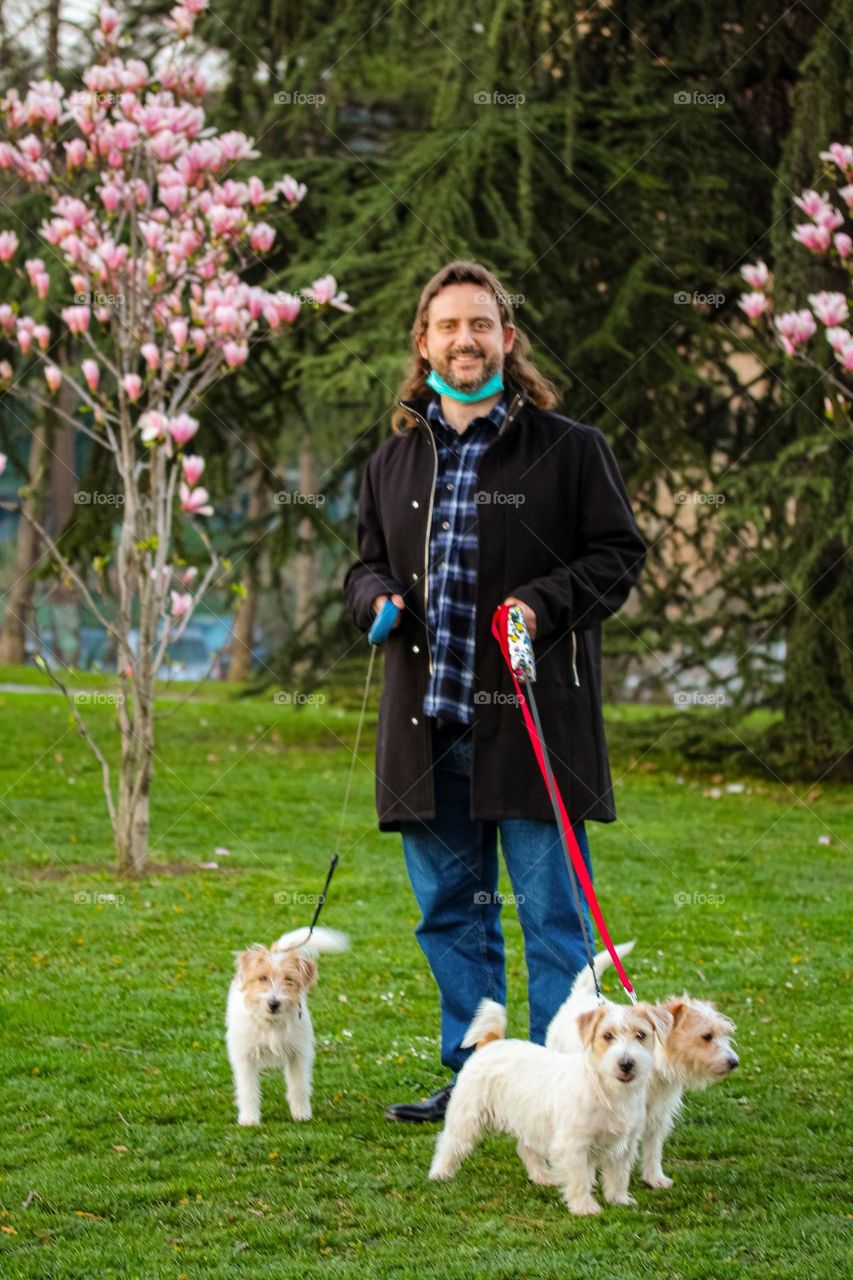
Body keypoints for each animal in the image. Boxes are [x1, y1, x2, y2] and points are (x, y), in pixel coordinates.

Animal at [225, 926, 348, 1126]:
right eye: (262, 978)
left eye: (289, 980)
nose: (274, 1003)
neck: (271, 1023)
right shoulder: (245, 1056)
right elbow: (248, 1089)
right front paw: (249, 1119)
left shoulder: (298, 1054)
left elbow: (299, 1086)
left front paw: (301, 1114)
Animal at [427, 993, 666, 1213]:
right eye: (607, 1036)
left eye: (641, 1035)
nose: (626, 1063)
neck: (606, 1089)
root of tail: (491, 1041)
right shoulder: (573, 1145)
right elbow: (579, 1178)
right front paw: (584, 1207)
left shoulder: (624, 1146)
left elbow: (618, 1175)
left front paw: (619, 1199)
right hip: (467, 1116)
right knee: (449, 1142)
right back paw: (440, 1173)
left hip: (529, 1121)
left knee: (525, 1149)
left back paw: (542, 1176)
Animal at [545, 942, 737, 1187]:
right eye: (706, 1036)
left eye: (724, 1034)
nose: (734, 1062)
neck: (654, 1070)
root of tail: (581, 996)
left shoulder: (657, 1117)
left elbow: (653, 1149)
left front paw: (655, 1178)